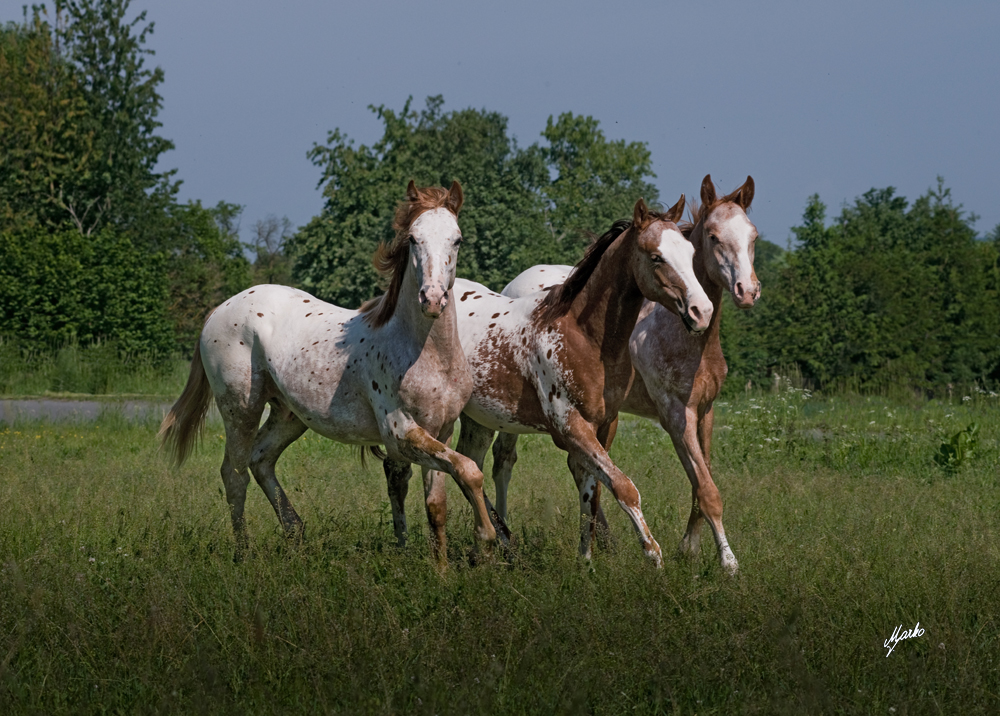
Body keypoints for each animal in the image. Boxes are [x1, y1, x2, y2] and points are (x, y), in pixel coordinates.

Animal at [158, 179, 498, 560]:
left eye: (457, 239)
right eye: (413, 238)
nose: (433, 298)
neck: (427, 355)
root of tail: (220, 308)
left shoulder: (442, 431)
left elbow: (438, 505)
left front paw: (444, 568)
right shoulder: (401, 432)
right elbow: (470, 470)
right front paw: (485, 539)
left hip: (289, 415)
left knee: (260, 460)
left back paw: (295, 533)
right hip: (240, 408)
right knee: (234, 473)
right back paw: (244, 554)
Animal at [382, 196, 712, 564]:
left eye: (690, 252)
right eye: (656, 257)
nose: (702, 311)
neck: (583, 335)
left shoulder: (603, 424)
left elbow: (592, 493)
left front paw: (586, 561)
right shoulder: (569, 424)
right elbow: (623, 487)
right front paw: (653, 557)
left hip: (475, 419)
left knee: (468, 464)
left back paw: (492, 544)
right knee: (399, 473)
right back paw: (407, 544)